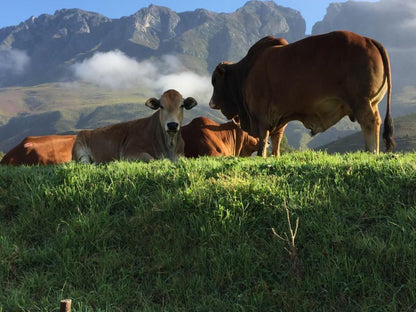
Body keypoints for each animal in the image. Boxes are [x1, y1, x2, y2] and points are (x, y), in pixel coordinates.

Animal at [210, 31, 394, 155]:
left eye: (215, 81)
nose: (211, 103)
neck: (245, 72)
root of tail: (369, 40)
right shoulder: (280, 118)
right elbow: (276, 141)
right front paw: (275, 156)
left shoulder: (260, 116)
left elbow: (263, 141)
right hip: (371, 103)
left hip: (361, 102)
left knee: (370, 123)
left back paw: (371, 151)